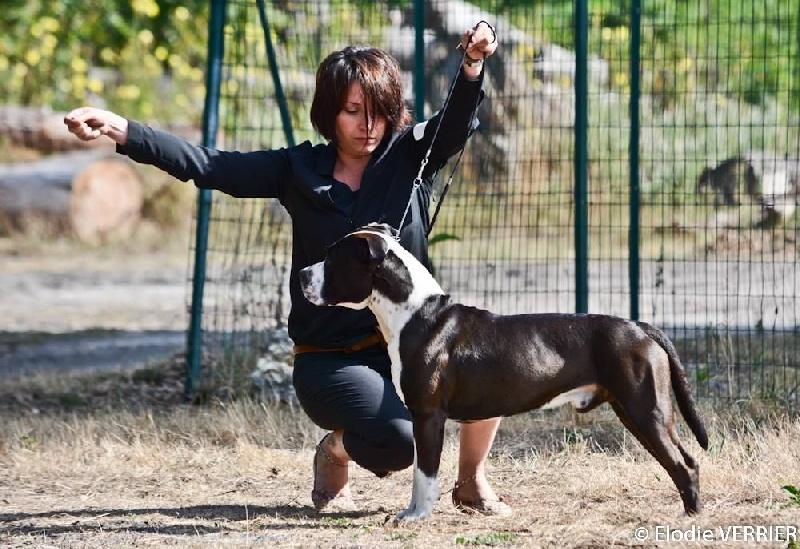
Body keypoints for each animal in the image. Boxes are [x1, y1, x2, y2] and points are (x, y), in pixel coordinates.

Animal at [299, 223, 709, 521]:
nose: (302, 274)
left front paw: (415, 516)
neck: (414, 313)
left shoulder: (428, 416)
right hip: (633, 409)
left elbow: (424, 472)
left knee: (683, 462)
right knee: (681, 460)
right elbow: (421, 470)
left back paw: (690, 516)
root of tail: (640, 327)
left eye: (332, 259)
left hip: (645, 408)